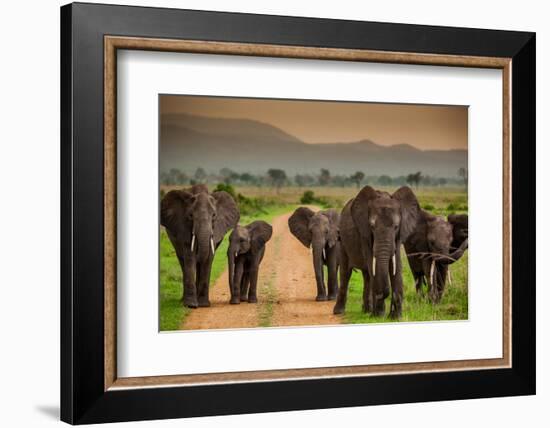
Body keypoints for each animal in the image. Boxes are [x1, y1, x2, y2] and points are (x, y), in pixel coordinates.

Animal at [334, 186, 420, 320]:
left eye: (396, 227)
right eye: (372, 226)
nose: (382, 294)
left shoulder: (399, 236)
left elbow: (396, 266)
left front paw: (396, 317)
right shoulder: (365, 235)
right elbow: (373, 265)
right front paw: (379, 315)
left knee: (367, 275)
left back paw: (366, 311)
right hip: (342, 240)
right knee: (346, 272)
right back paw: (339, 311)